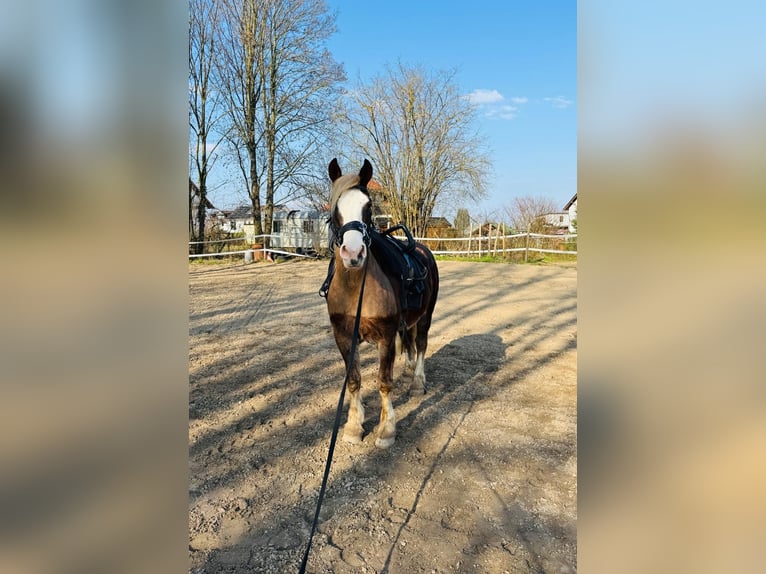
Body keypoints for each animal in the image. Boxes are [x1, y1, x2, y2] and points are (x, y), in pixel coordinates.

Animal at [324, 159, 440, 450]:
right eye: (336, 208)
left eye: (368, 207)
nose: (353, 254)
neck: (356, 289)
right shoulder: (343, 337)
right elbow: (354, 381)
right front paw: (354, 426)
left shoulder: (385, 338)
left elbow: (384, 382)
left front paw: (386, 430)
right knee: (410, 344)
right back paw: (408, 373)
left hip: (426, 316)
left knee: (421, 344)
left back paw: (417, 383)